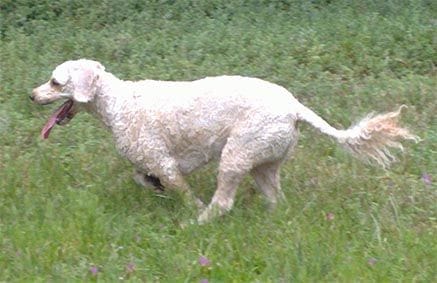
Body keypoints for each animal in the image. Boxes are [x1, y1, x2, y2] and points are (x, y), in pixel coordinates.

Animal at [29, 60, 418, 224]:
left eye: (54, 82)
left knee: (223, 203)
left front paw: (190, 207)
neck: (117, 102)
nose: (31, 95)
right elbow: (141, 177)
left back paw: (197, 224)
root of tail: (294, 107)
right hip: (264, 164)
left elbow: (182, 190)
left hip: (236, 154)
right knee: (277, 200)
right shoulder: (151, 163)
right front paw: (153, 188)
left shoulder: (166, 163)